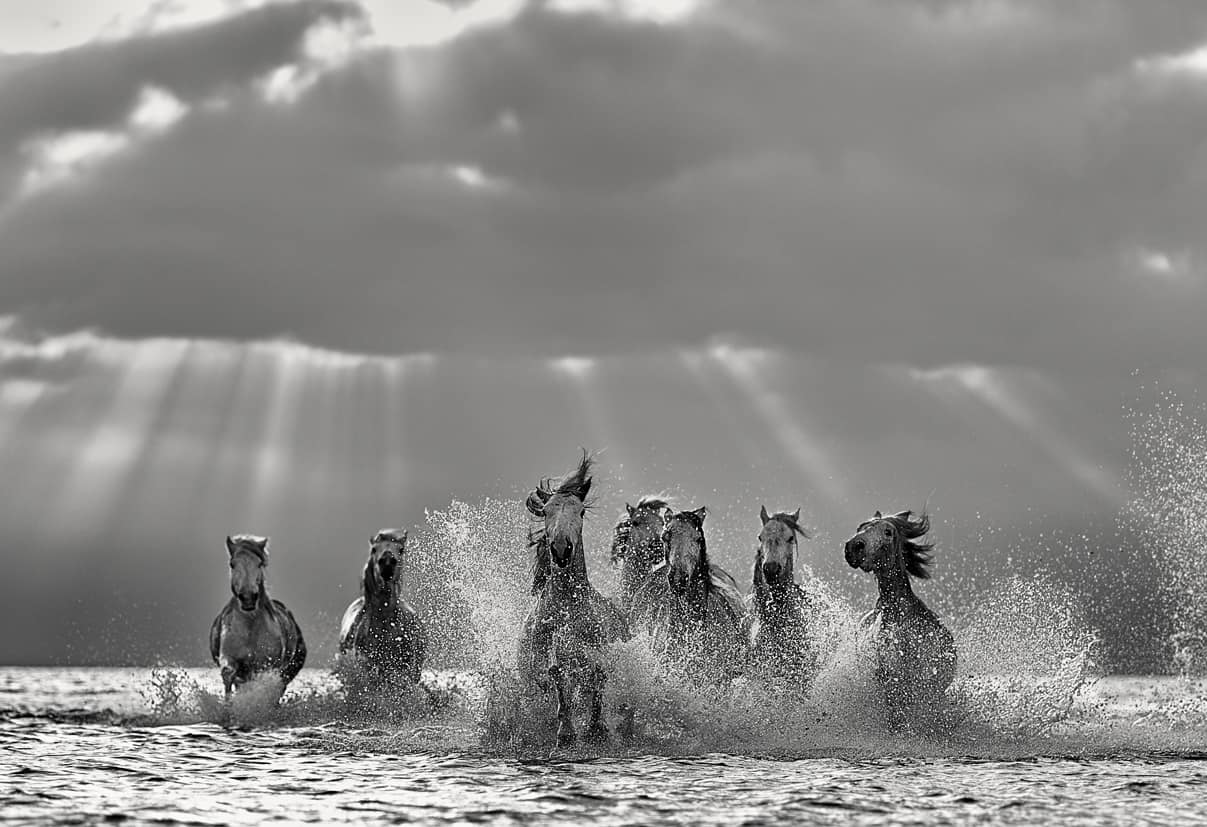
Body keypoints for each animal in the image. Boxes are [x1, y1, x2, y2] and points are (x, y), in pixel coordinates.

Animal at [209, 534, 307, 704]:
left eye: (259, 563)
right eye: (232, 564)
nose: (248, 598)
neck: (250, 629)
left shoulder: (267, 665)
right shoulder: (229, 657)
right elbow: (228, 673)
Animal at [519, 451, 630, 746]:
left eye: (580, 511)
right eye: (546, 512)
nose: (560, 549)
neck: (568, 607)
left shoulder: (597, 652)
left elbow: (597, 675)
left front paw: (596, 728)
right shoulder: (548, 656)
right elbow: (556, 673)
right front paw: (566, 731)